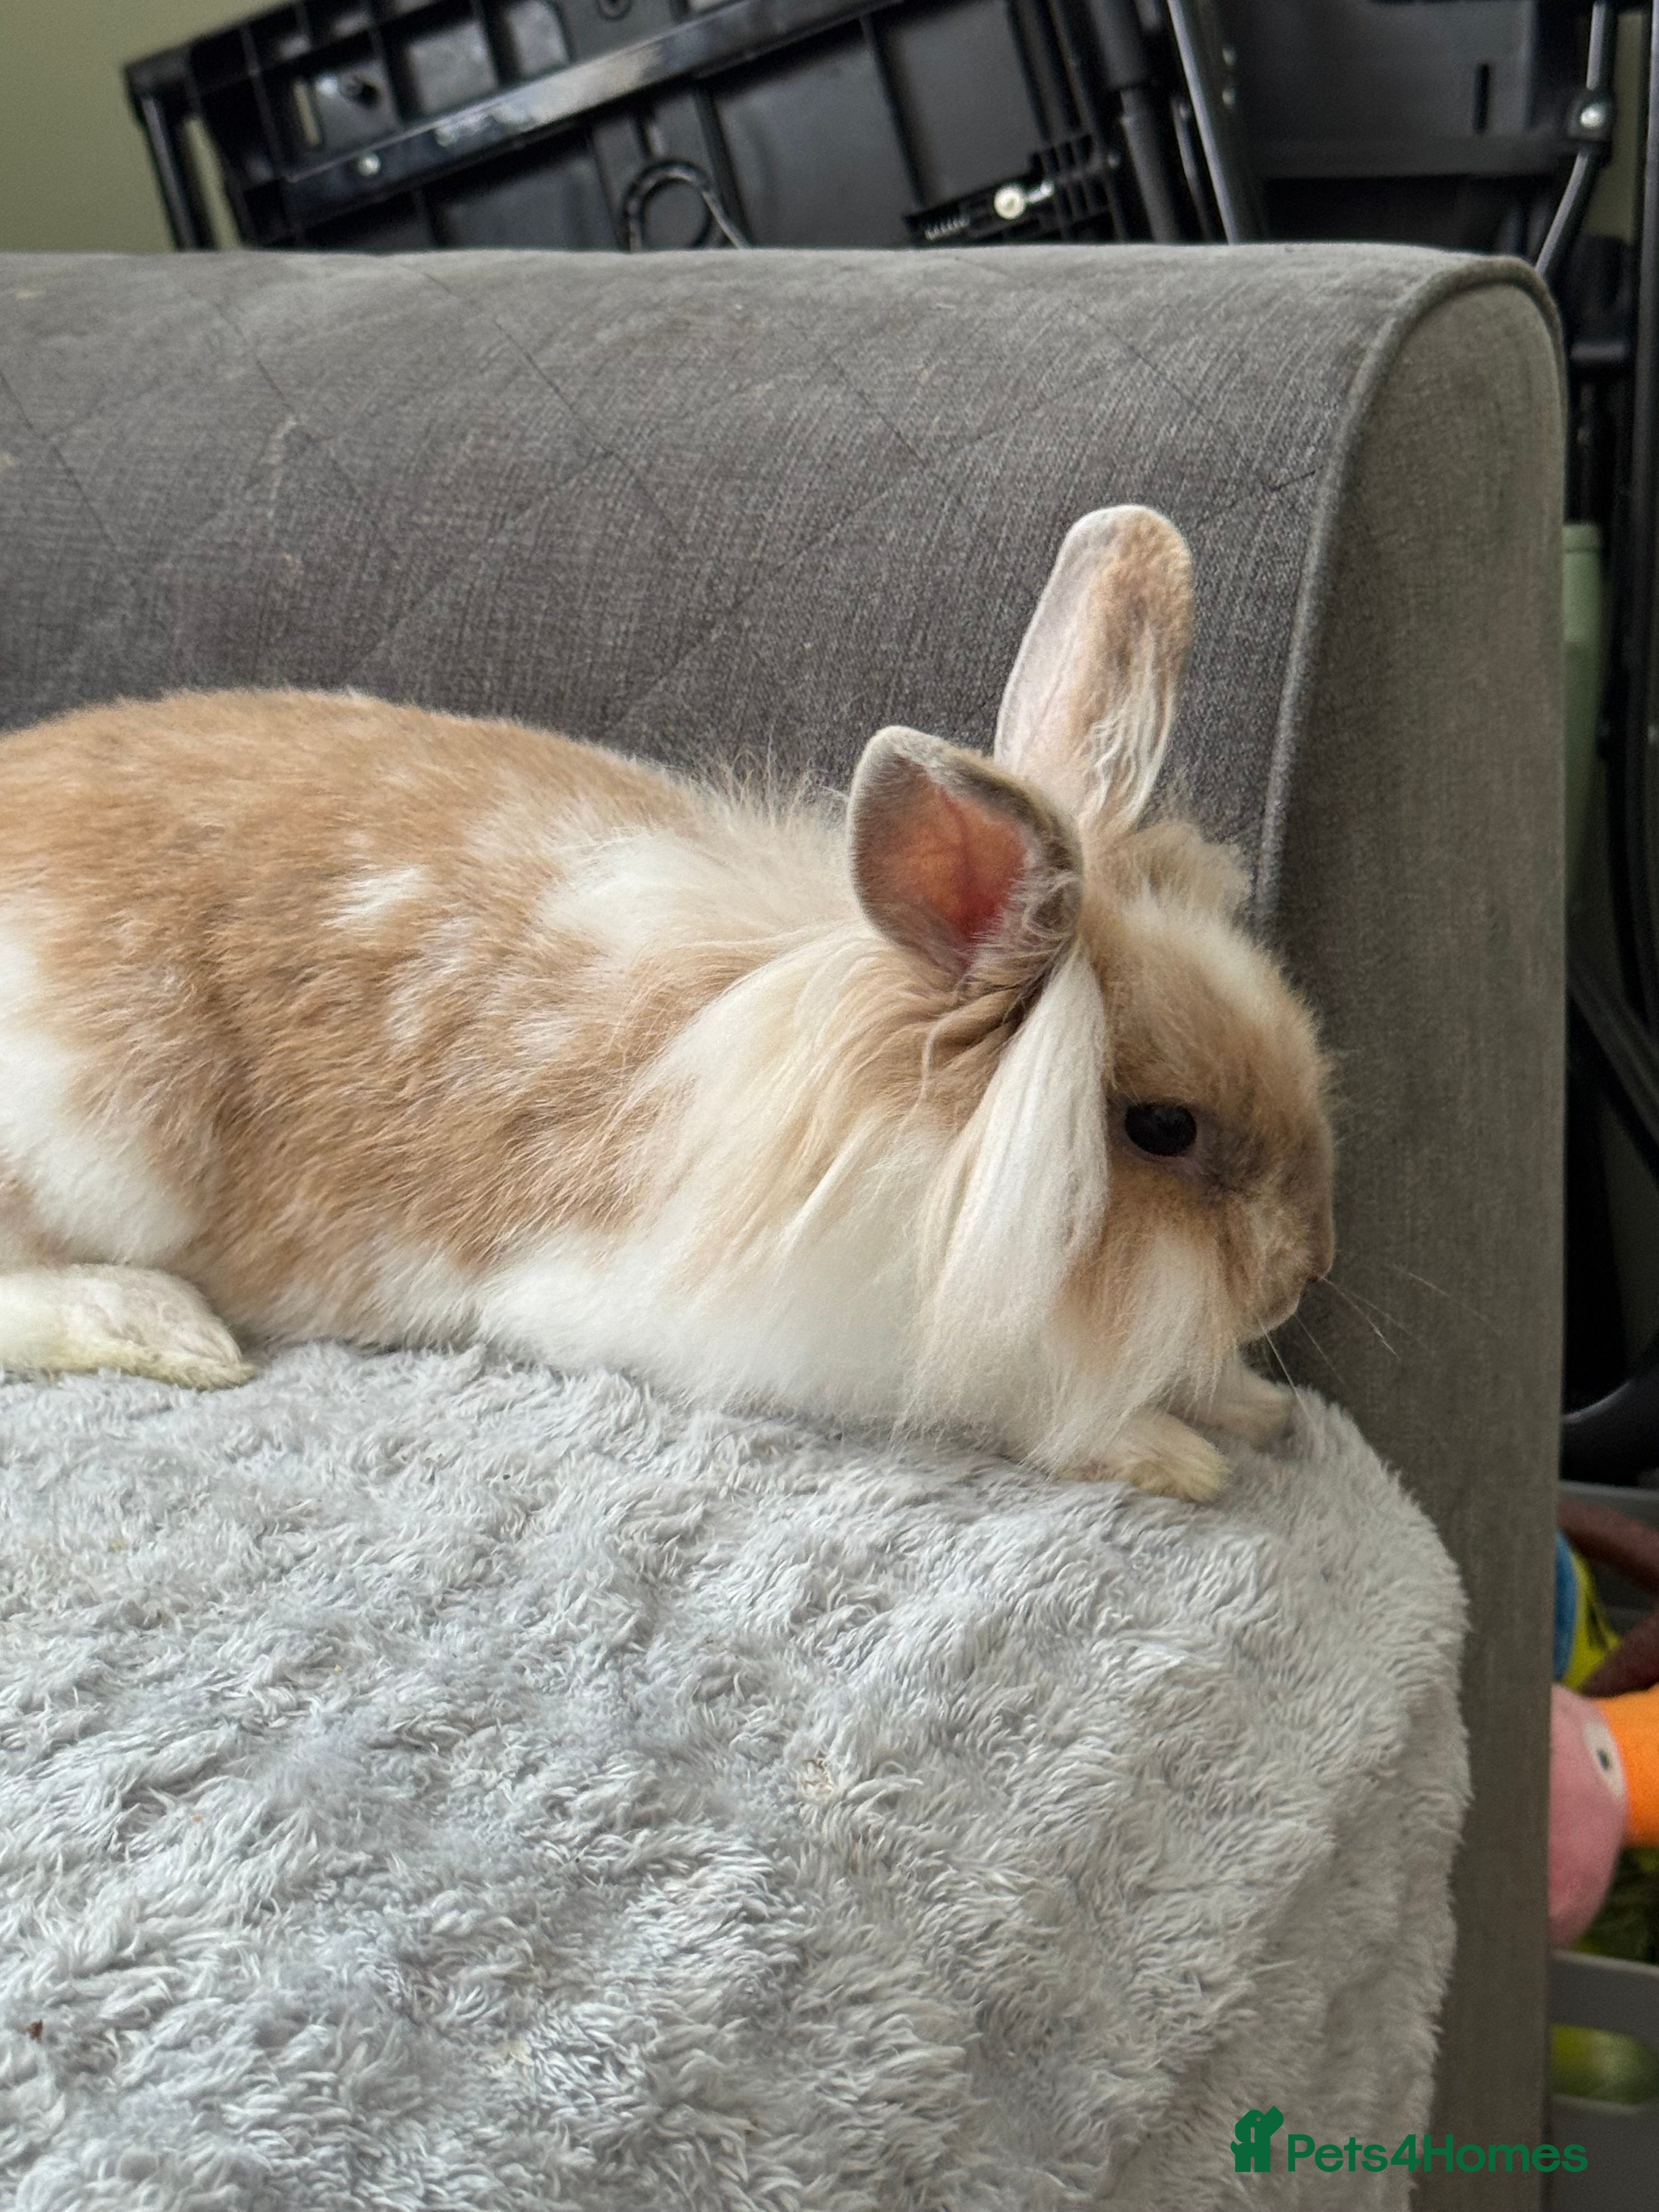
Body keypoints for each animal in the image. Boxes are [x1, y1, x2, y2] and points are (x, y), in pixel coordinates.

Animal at [0, 505, 1333, 1502]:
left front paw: (1254, 1404)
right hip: (87, 1151)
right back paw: (168, 1330)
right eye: (1158, 1128)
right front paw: (1169, 1451)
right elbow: (1020, 1401)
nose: (1297, 1277)